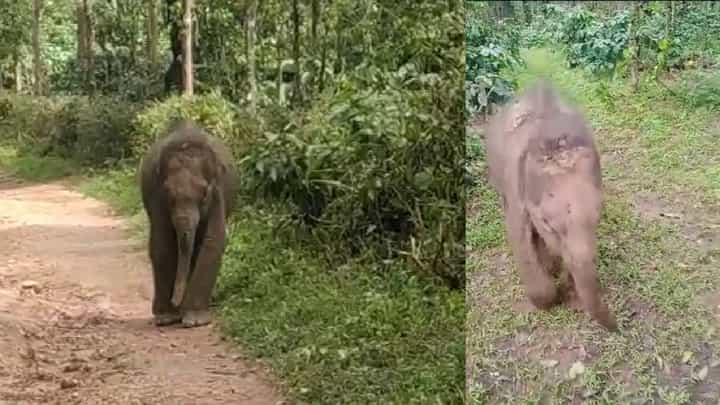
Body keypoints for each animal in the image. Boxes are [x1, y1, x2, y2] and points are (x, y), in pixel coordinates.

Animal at [139, 120, 238, 328]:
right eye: (169, 195)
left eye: (204, 195)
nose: (176, 302)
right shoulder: (155, 192)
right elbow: (162, 242)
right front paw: (166, 318)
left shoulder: (218, 192)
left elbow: (213, 240)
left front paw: (195, 321)